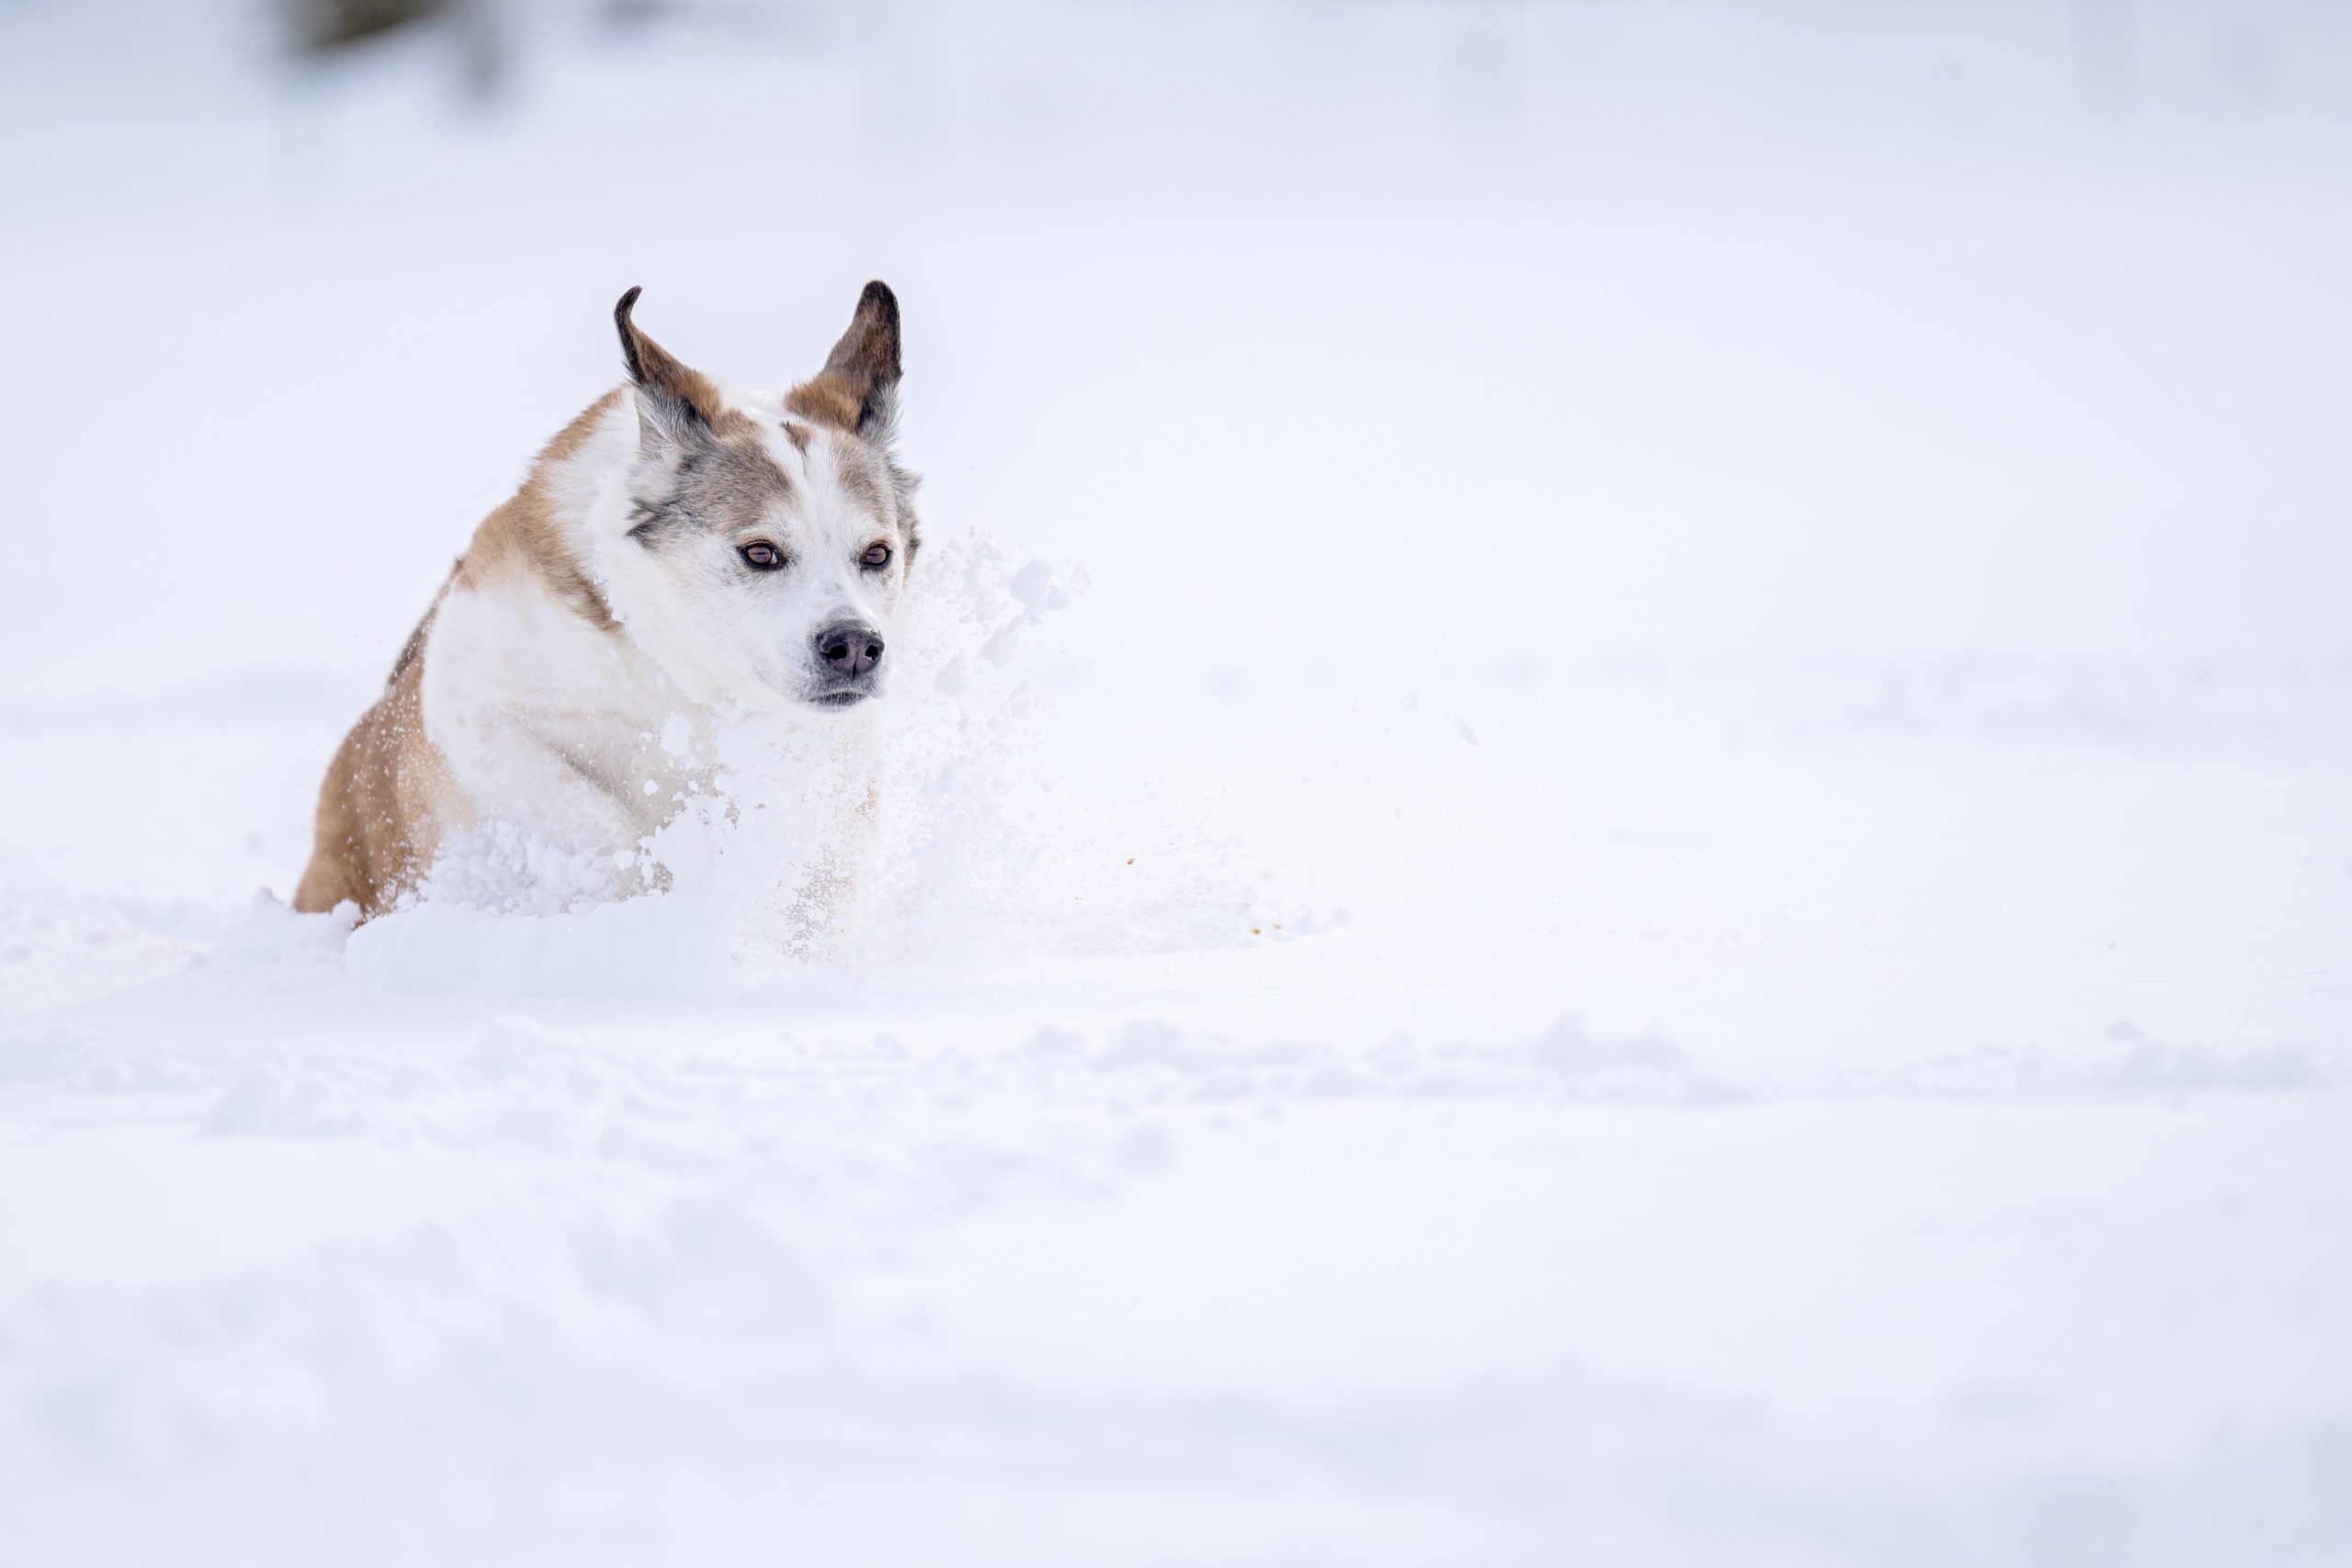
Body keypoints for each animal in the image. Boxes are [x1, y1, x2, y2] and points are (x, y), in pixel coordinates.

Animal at [294, 283, 917, 921]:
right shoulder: (468, 710)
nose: (856, 647)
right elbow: (595, 823)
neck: (679, 680)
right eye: (761, 552)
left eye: (877, 555)